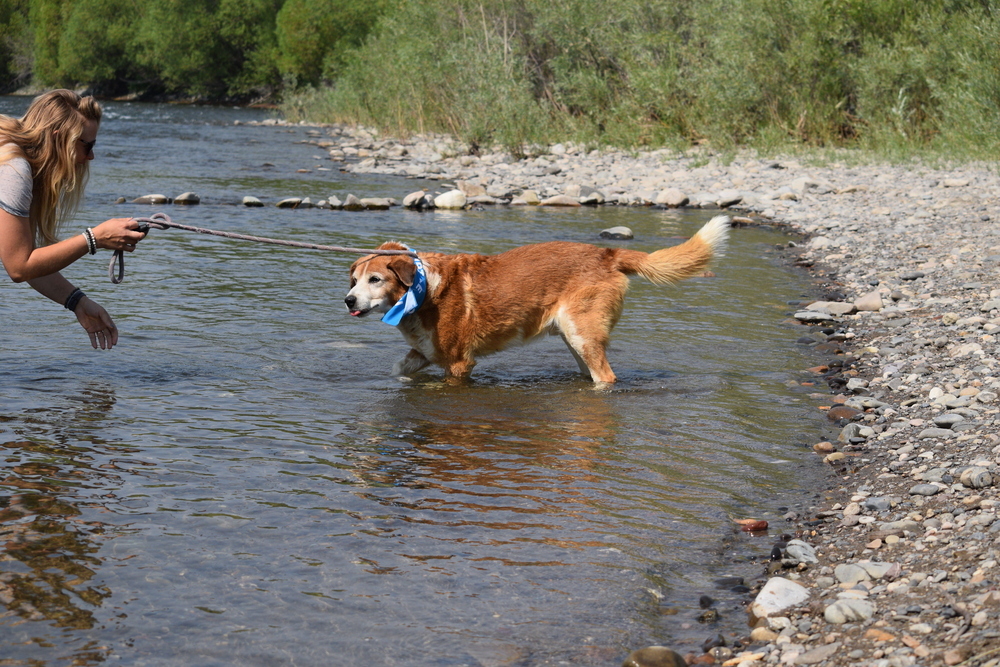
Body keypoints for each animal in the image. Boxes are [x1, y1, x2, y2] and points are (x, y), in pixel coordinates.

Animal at [344, 214, 728, 380]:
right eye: (354, 280)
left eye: (375, 280)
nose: (348, 300)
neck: (425, 290)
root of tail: (607, 253)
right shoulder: (424, 353)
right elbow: (398, 369)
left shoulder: (459, 363)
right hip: (575, 341)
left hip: (582, 335)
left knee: (606, 377)